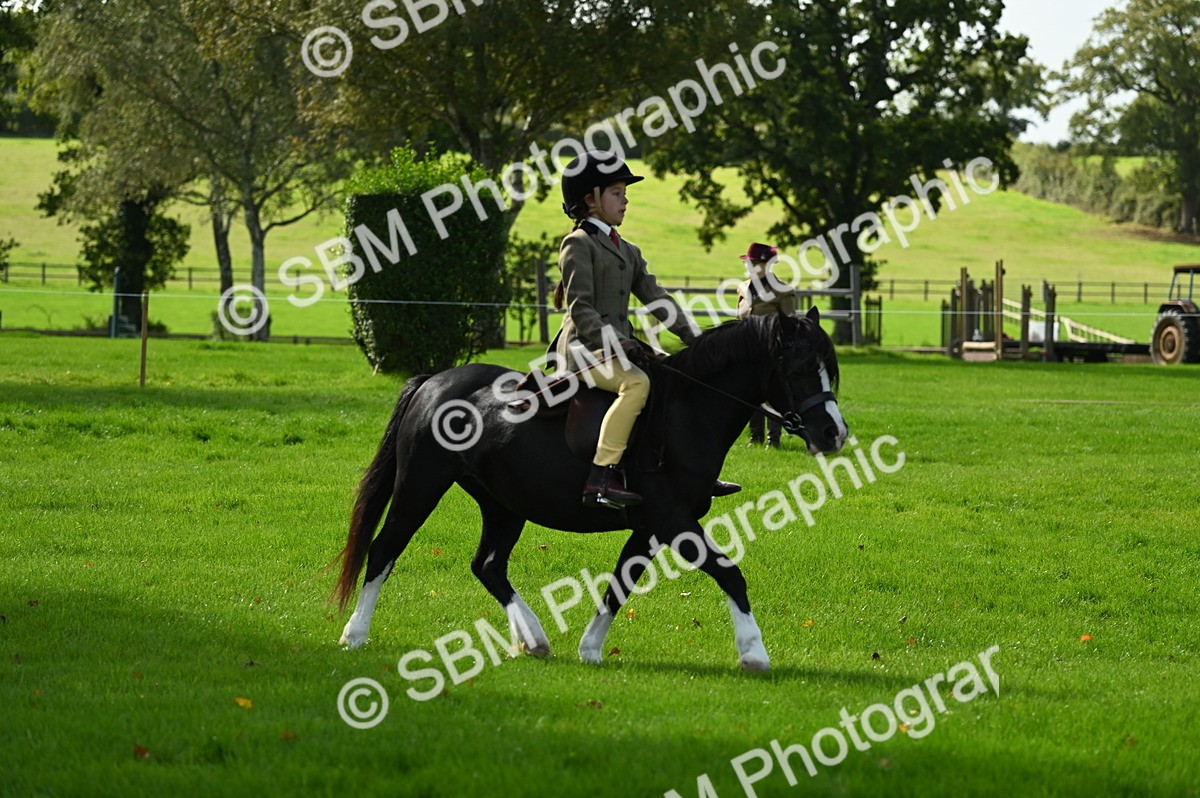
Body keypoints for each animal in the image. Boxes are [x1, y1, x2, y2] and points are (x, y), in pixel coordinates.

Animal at [333, 307, 848, 671]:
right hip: (421, 485)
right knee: (384, 550)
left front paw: (591, 649)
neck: (685, 413)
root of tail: (434, 381)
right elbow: (729, 573)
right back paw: (354, 635)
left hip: (503, 504)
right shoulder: (675, 521)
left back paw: (533, 638)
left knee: (488, 566)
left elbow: (619, 585)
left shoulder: (650, 527)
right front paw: (754, 653)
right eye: (799, 369)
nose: (833, 433)